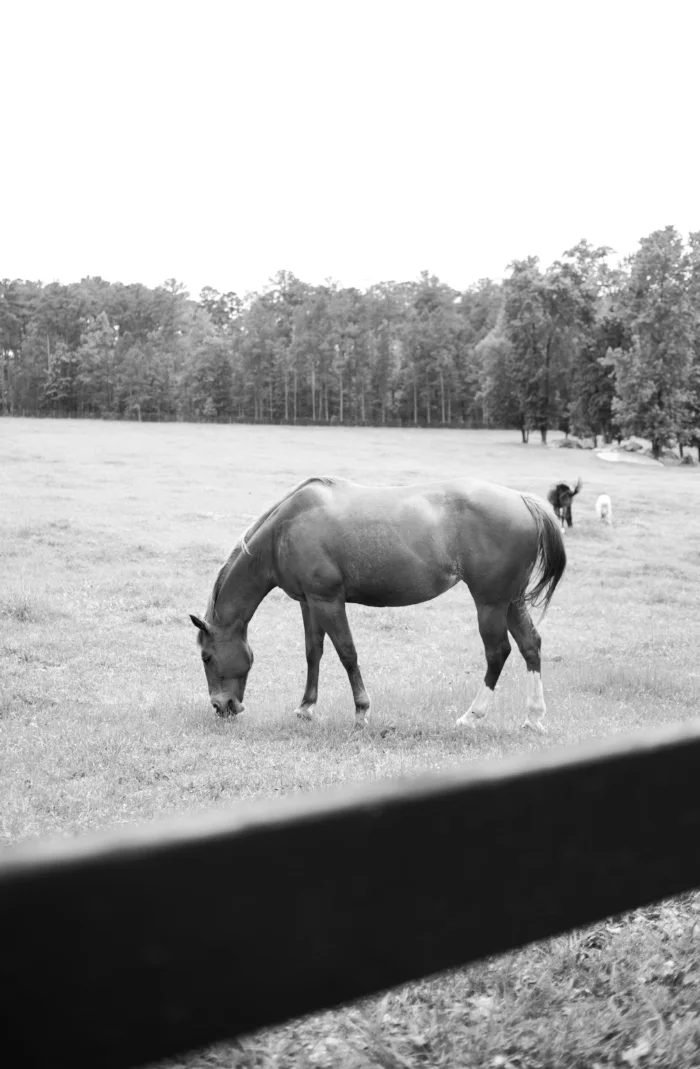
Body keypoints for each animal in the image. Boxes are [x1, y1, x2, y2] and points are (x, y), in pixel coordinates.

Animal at [190, 476, 567, 733]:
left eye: (206, 656)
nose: (222, 705)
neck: (284, 530)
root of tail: (523, 500)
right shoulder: (309, 602)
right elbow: (314, 652)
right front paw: (306, 708)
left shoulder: (328, 601)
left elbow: (346, 652)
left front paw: (361, 711)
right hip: (510, 601)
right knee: (530, 645)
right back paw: (533, 717)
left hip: (490, 603)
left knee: (497, 652)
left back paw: (472, 715)